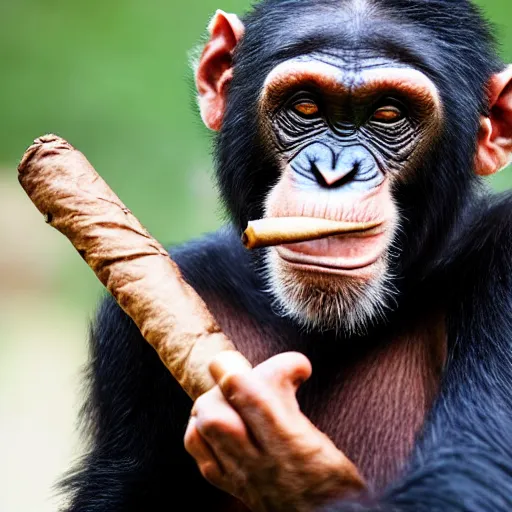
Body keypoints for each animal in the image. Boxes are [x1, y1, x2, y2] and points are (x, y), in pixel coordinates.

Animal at [59, 0, 512, 510]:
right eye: (305, 105)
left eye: (389, 114)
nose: (333, 171)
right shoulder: (132, 336)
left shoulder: (507, 264)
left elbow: (467, 475)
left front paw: (287, 457)